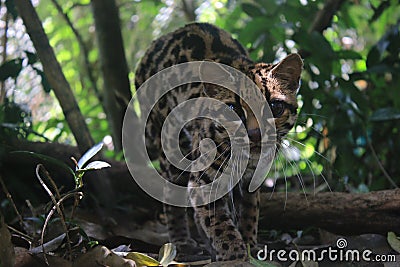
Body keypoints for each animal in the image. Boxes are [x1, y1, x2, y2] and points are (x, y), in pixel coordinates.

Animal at [134, 22, 300, 262]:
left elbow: (249, 211)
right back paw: (181, 242)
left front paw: (249, 244)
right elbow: (218, 222)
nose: (255, 134)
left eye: (275, 107)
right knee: (171, 196)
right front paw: (234, 255)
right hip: (172, 145)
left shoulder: (251, 179)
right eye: (233, 110)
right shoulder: (202, 181)